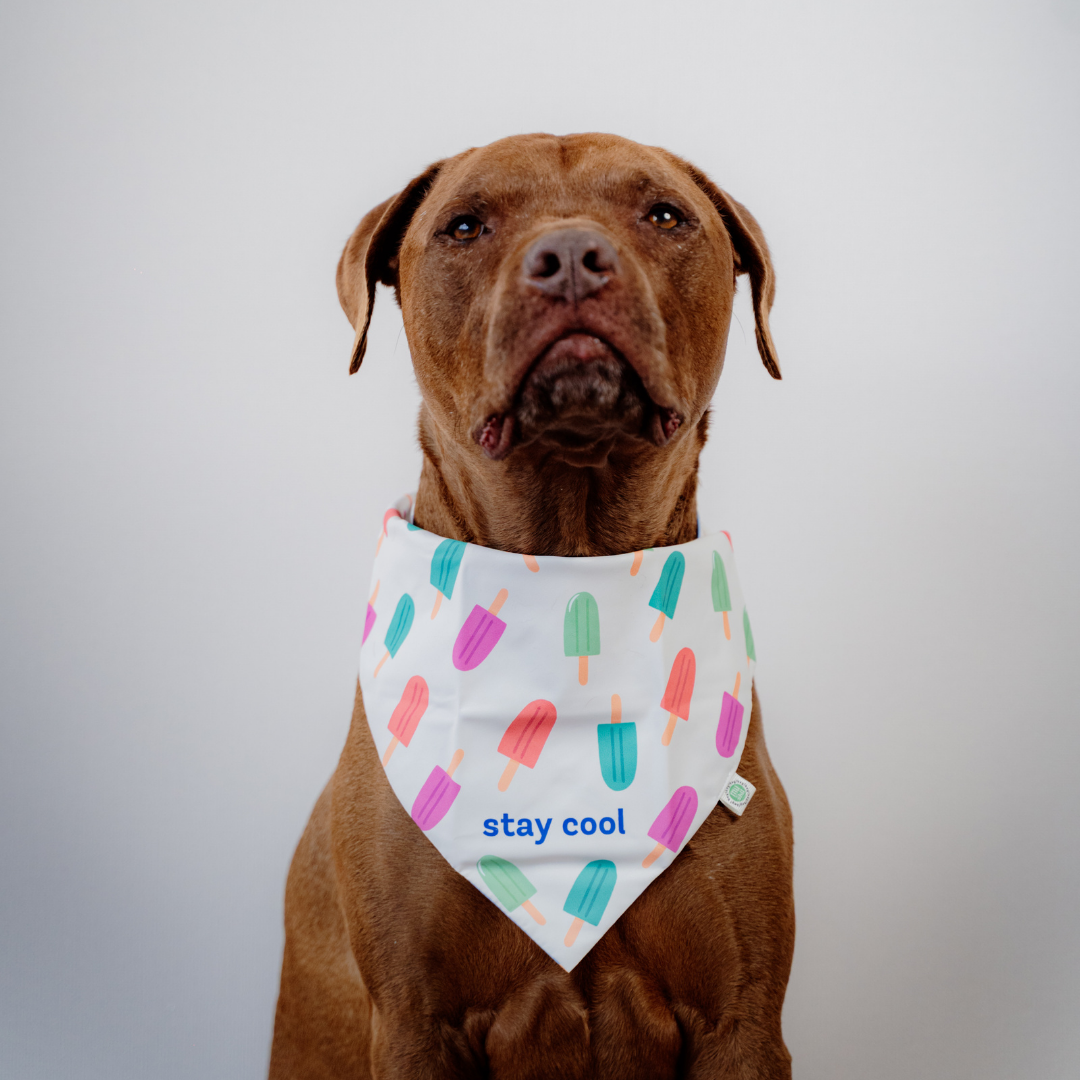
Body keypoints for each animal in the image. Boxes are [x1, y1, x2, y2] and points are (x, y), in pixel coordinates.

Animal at [269, 132, 794, 1079]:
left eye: (666, 214)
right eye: (464, 225)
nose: (574, 260)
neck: (569, 570)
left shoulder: (743, 1020)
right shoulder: (413, 1021)